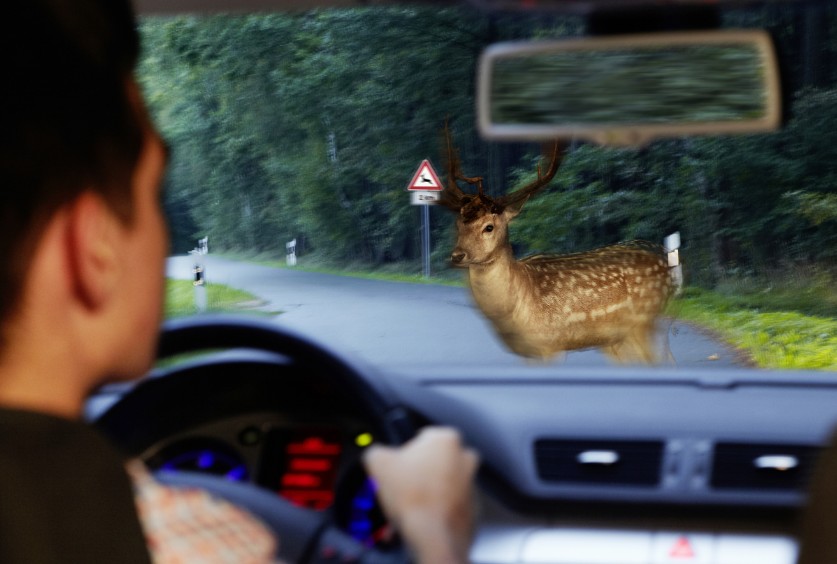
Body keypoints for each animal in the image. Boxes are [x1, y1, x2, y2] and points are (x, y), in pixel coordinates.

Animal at [440, 129, 675, 364]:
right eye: (459, 224)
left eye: (488, 227)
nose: (457, 255)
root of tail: (666, 258)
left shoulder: (550, 344)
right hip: (617, 340)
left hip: (644, 324)